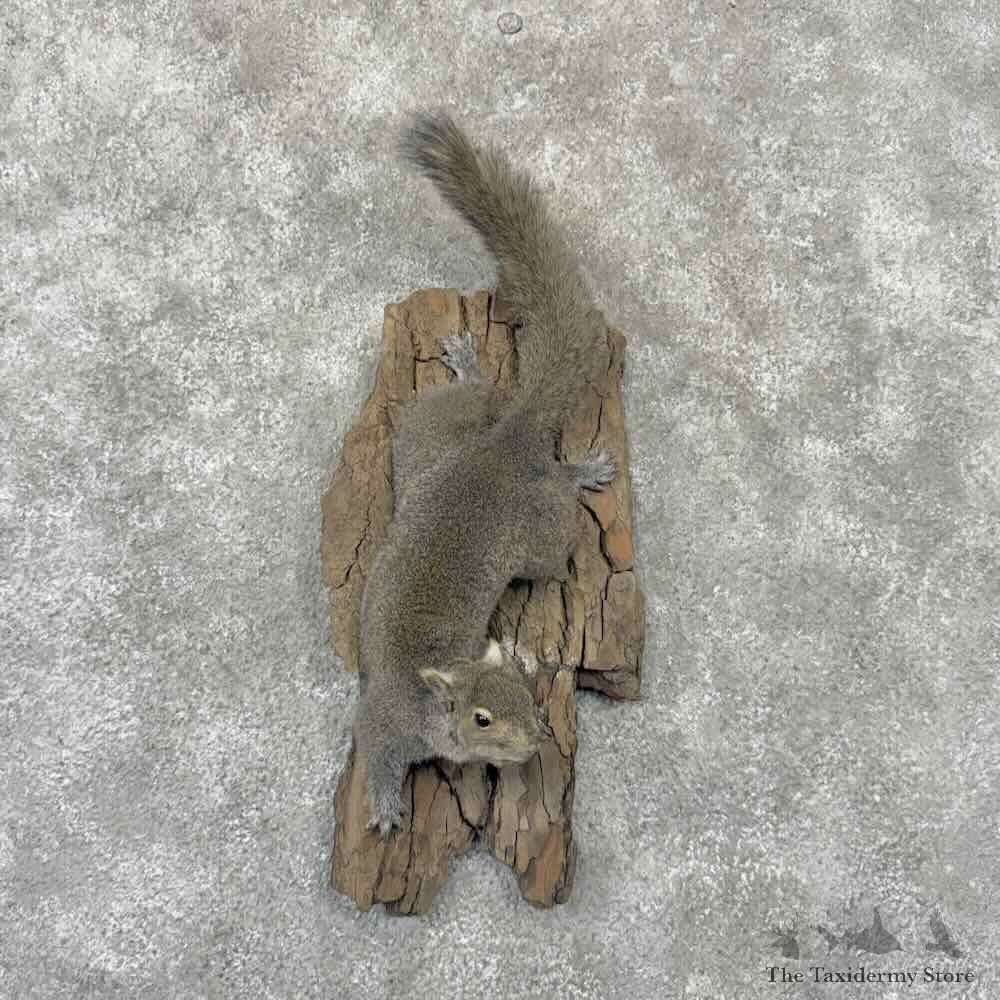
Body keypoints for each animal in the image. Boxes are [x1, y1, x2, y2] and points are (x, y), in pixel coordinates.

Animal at [353, 113, 616, 836]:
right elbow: (377, 758)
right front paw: (386, 809)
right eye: (481, 717)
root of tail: (504, 443)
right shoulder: (380, 725)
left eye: (527, 692)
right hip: (449, 463)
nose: (536, 740)